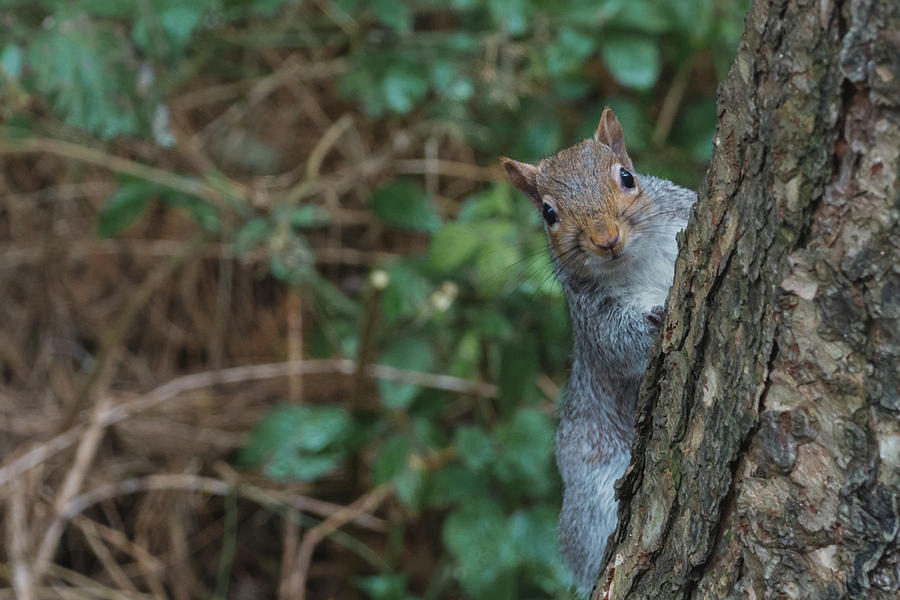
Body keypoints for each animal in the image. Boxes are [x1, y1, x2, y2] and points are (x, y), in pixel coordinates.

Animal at [502, 106, 692, 596]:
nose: (606, 238)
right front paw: (653, 322)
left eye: (627, 177)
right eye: (548, 213)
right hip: (592, 495)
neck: (636, 261)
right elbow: (618, 344)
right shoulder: (592, 314)